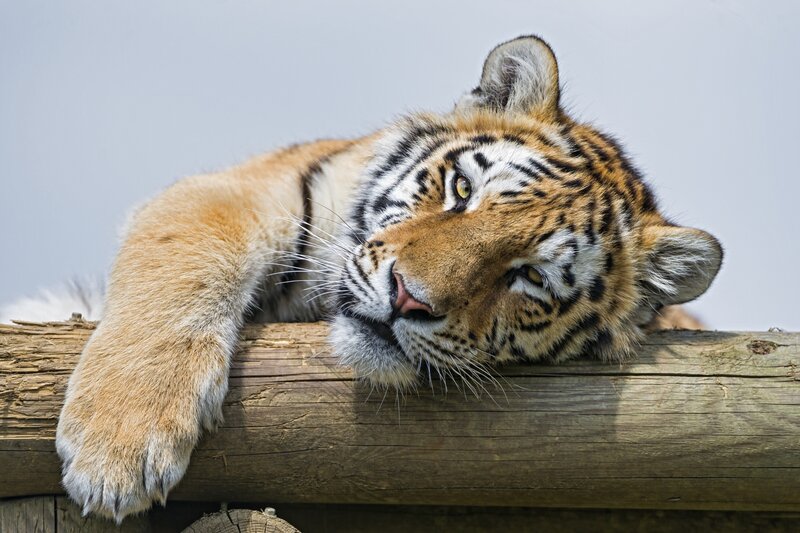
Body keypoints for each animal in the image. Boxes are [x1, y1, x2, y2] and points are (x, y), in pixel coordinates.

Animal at [5, 35, 721, 521]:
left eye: (529, 278)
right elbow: (183, 268)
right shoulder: (232, 191)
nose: (408, 298)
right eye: (462, 190)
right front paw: (118, 451)